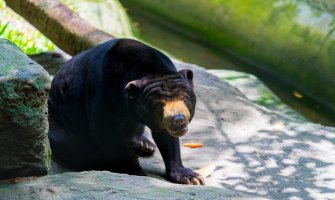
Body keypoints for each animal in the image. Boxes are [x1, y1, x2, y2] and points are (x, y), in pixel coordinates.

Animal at [47, 38, 205, 185]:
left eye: (185, 99)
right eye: (159, 105)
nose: (178, 120)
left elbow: (166, 137)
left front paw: (191, 177)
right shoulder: (102, 92)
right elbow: (106, 130)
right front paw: (136, 171)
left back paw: (145, 145)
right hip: (59, 124)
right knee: (73, 146)